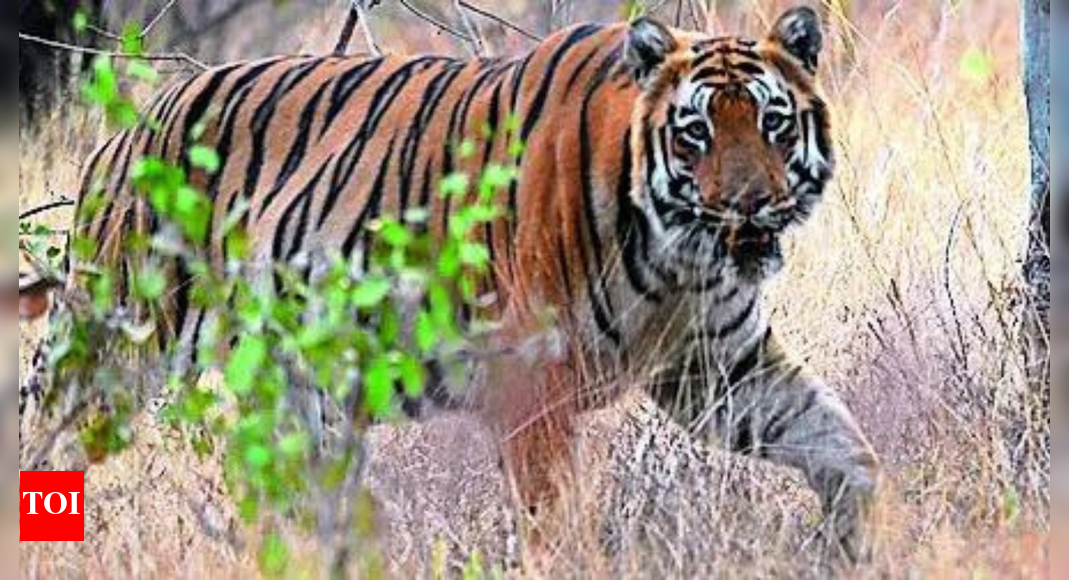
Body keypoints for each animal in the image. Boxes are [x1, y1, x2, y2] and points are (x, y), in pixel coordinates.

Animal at [27, 6, 879, 561]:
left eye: (772, 123)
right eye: (696, 131)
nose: (750, 203)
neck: (679, 258)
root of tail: (130, 127)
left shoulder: (716, 367)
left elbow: (843, 446)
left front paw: (855, 543)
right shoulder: (535, 379)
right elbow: (555, 521)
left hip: (304, 403)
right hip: (115, 349)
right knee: (45, 444)